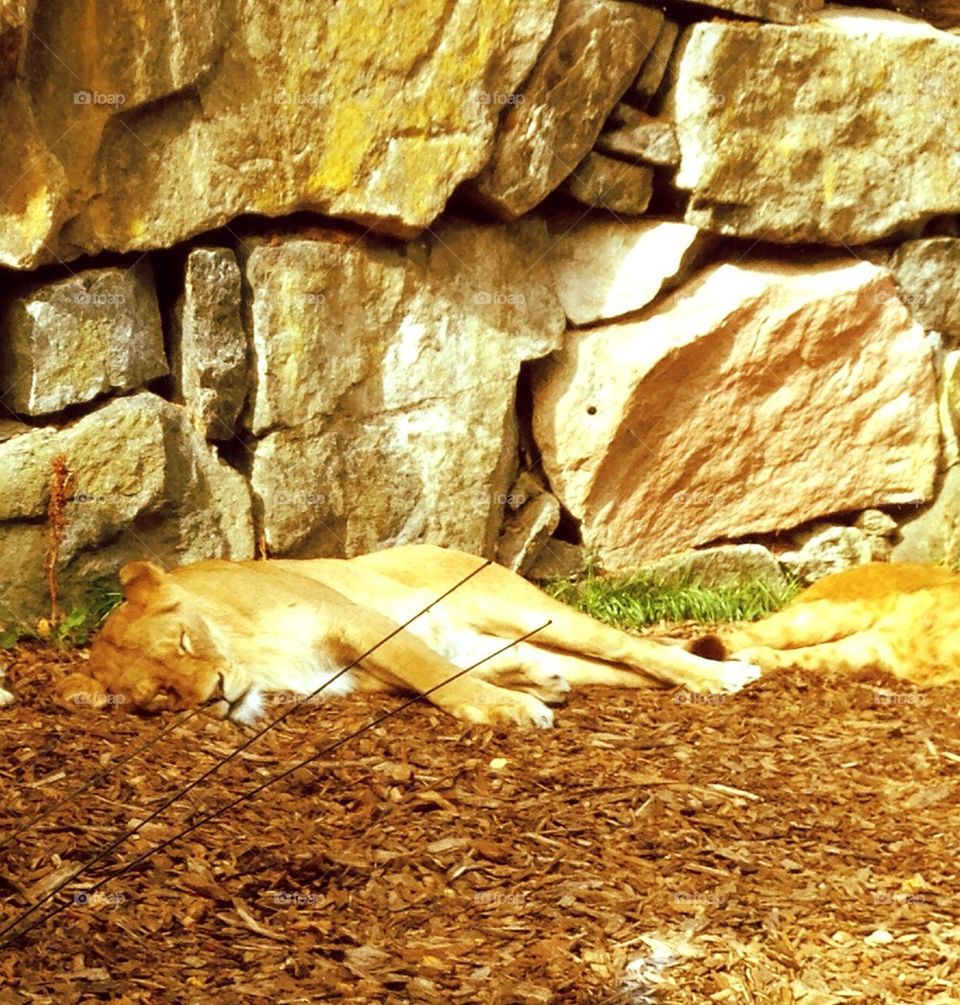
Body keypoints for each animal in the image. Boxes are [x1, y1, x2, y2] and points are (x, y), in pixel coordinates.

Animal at [59, 544, 760, 728]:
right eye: (161, 697)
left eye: (182, 642)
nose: (213, 695)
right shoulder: (351, 678)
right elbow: (433, 678)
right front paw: (510, 702)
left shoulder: (357, 621)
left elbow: (433, 674)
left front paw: (508, 712)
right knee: (623, 672)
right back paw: (542, 680)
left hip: (526, 610)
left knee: (632, 647)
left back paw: (723, 674)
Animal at [689, 561, 960, 686]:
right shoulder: (878, 637)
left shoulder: (872, 648)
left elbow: (809, 658)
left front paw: (754, 660)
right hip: (832, 615)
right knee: (750, 633)